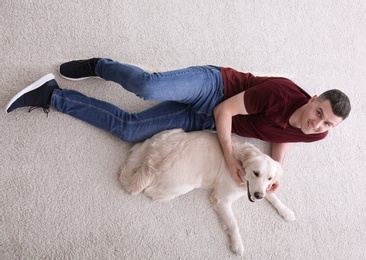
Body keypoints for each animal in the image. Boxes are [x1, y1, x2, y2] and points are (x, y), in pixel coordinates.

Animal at [120, 129, 294, 255]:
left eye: (270, 178)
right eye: (256, 173)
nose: (258, 196)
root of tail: (151, 165)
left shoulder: (258, 189)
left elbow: (273, 196)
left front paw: (286, 211)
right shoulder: (222, 199)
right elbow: (233, 223)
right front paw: (237, 244)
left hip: (157, 139)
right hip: (186, 184)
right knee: (150, 190)